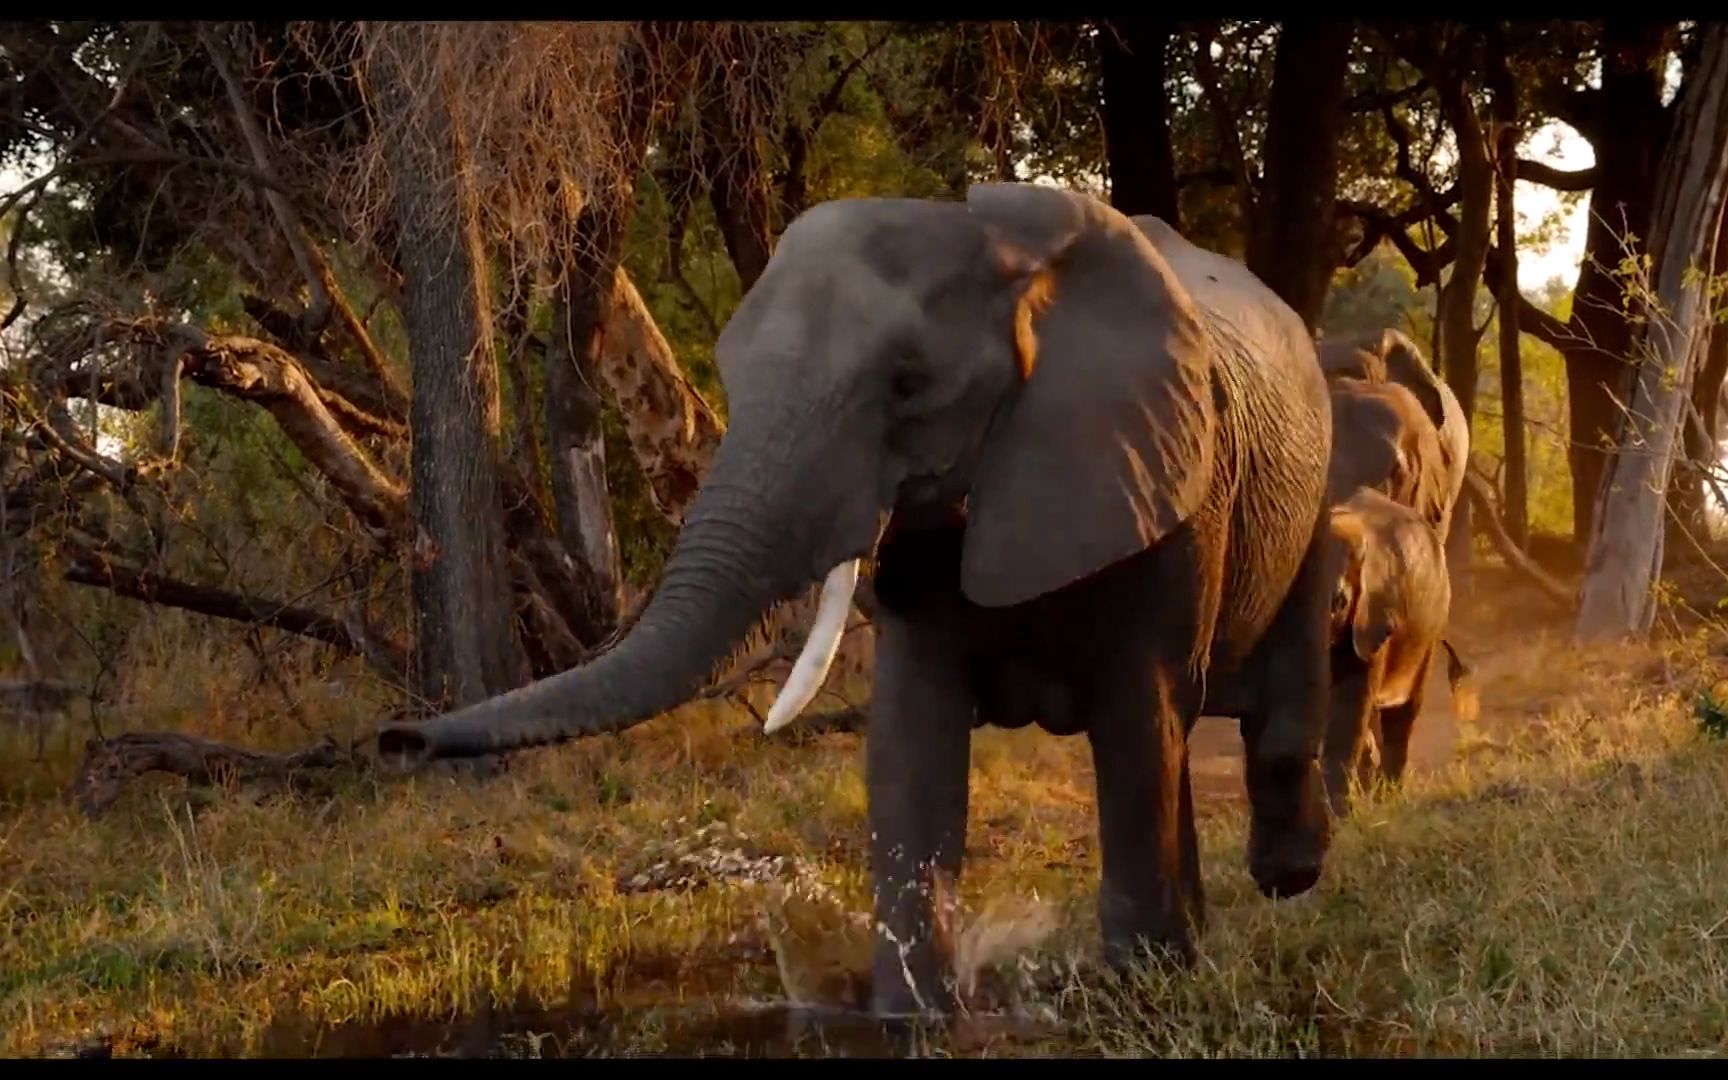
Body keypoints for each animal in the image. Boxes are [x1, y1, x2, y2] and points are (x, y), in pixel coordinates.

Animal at [381, 184, 1334, 1016]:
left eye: (908, 384)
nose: (399, 739)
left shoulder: (1167, 483)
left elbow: (1137, 718)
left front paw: (1142, 992)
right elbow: (912, 740)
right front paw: (911, 1013)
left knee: (1261, 708)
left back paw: (1284, 880)